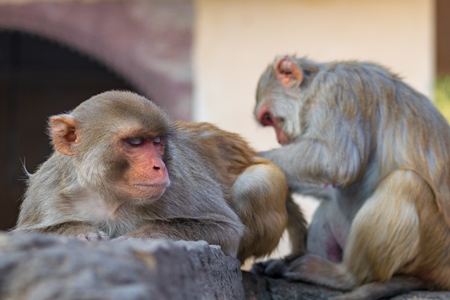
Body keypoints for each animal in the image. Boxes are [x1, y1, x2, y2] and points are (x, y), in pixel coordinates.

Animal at [12, 90, 306, 264]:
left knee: (257, 182)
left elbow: (225, 228)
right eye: (134, 142)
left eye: (157, 142)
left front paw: (139, 238)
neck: (110, 195)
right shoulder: (47, 190)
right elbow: (26, 235)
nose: (158, 167)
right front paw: (80, 233)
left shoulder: (179, 182)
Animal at [253, 55, 450, 298]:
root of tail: (441, 276)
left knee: (405, 182)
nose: (280, 140)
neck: (314, 87)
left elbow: (337, 161)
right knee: (330, 205)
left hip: (432, 250)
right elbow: (331, 184)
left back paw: (345, 277)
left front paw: (250, 158)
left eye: (269, 118)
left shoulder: (339, 91)